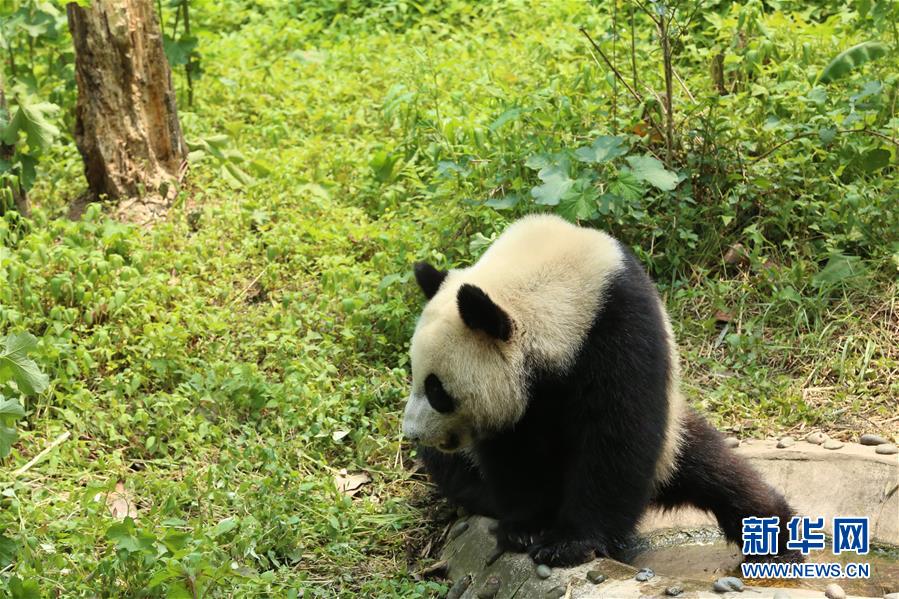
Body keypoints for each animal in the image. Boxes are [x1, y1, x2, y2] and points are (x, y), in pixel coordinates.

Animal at [402, 214, 801, 567]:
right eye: (415, 375)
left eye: (437, 390)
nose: (412, 433)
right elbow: (512, 453)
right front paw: (526, 528)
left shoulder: (618, 327)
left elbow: (617, 438)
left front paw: (569, 543)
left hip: (670, 438)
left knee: (715, 470)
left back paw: (773, 533)